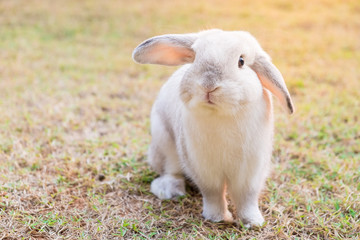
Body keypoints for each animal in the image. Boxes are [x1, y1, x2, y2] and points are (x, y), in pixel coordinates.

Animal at [131, 29, 292, 228]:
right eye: (195, 57)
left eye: (241, 61)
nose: (208, 85)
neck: (221, 114)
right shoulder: (203, 167)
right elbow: (213, 193)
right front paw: (217, 218)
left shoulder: (251, 170)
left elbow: (246, 197)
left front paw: (253, 222)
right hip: (164, 144)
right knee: (170, 170)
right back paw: (170, 190)